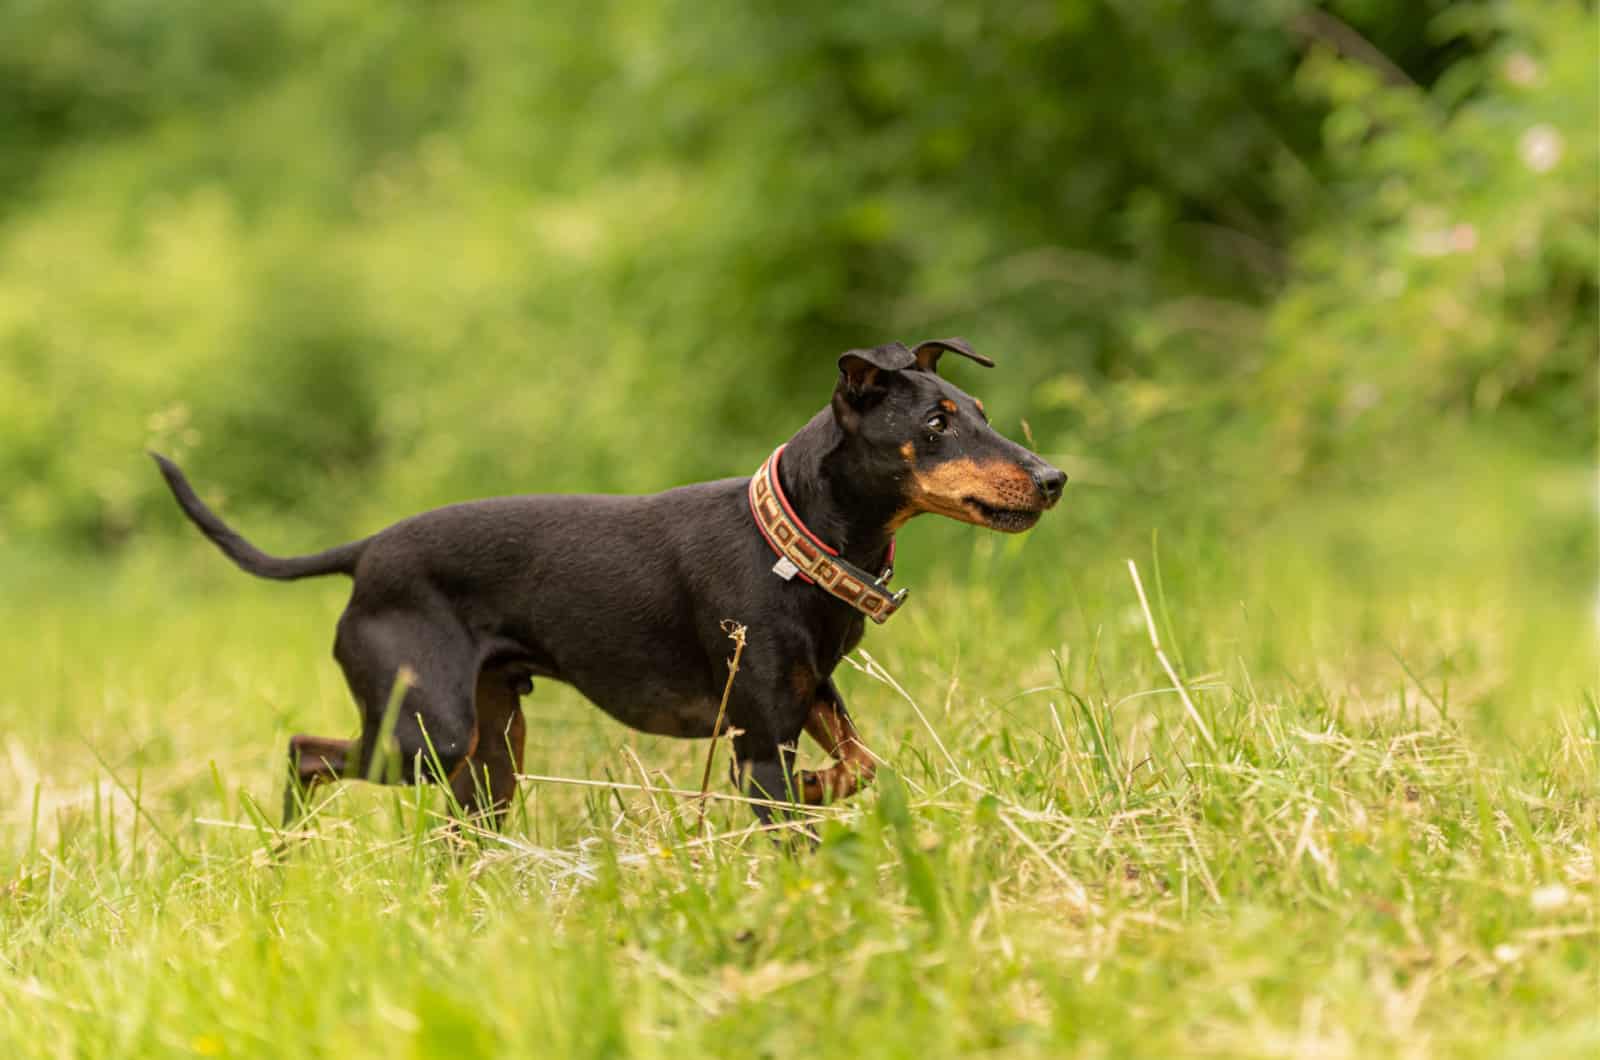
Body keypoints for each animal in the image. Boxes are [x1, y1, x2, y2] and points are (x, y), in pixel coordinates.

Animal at [156, 341, 1068, 832]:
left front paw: (824, 786)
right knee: (305, 753)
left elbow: (861, 766)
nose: (1053, 478)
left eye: (981, 410)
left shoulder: (808, 696)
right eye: (936, 424)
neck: (791, 543)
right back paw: (286, 856)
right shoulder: (758, 745)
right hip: (426, 736)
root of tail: (365, 552)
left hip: (492, 751)